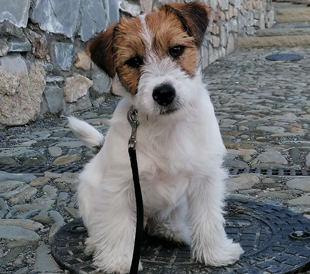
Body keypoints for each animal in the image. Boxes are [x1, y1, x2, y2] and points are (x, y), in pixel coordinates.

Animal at [68, 1, 245, 272]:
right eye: (134, 61)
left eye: (176, 50)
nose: (164, 93)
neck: (167, 126)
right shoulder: (119, 187)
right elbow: (118, 226)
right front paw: (120, 261)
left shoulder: (206, 179)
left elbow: (209, 219)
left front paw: (215, 253)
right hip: (90, 192)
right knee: (101, 227)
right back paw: (97, 245)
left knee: (162, 220)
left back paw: (173, 230)